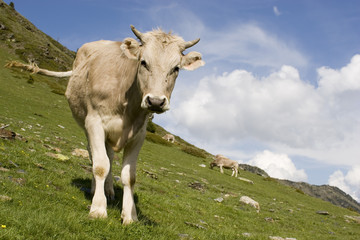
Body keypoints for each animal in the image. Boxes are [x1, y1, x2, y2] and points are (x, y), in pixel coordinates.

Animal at [5, 25, 204, 224]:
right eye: (143, 62)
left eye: (176, 68)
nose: (155, 101)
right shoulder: (95, 123)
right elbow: (101, 166)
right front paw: (98, 209)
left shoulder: (139, 134)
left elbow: (129, 176)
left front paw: (130, 215)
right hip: (85, 123)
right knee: (94, 154)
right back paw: (96, 189)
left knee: (109, 155)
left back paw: (108, 190)